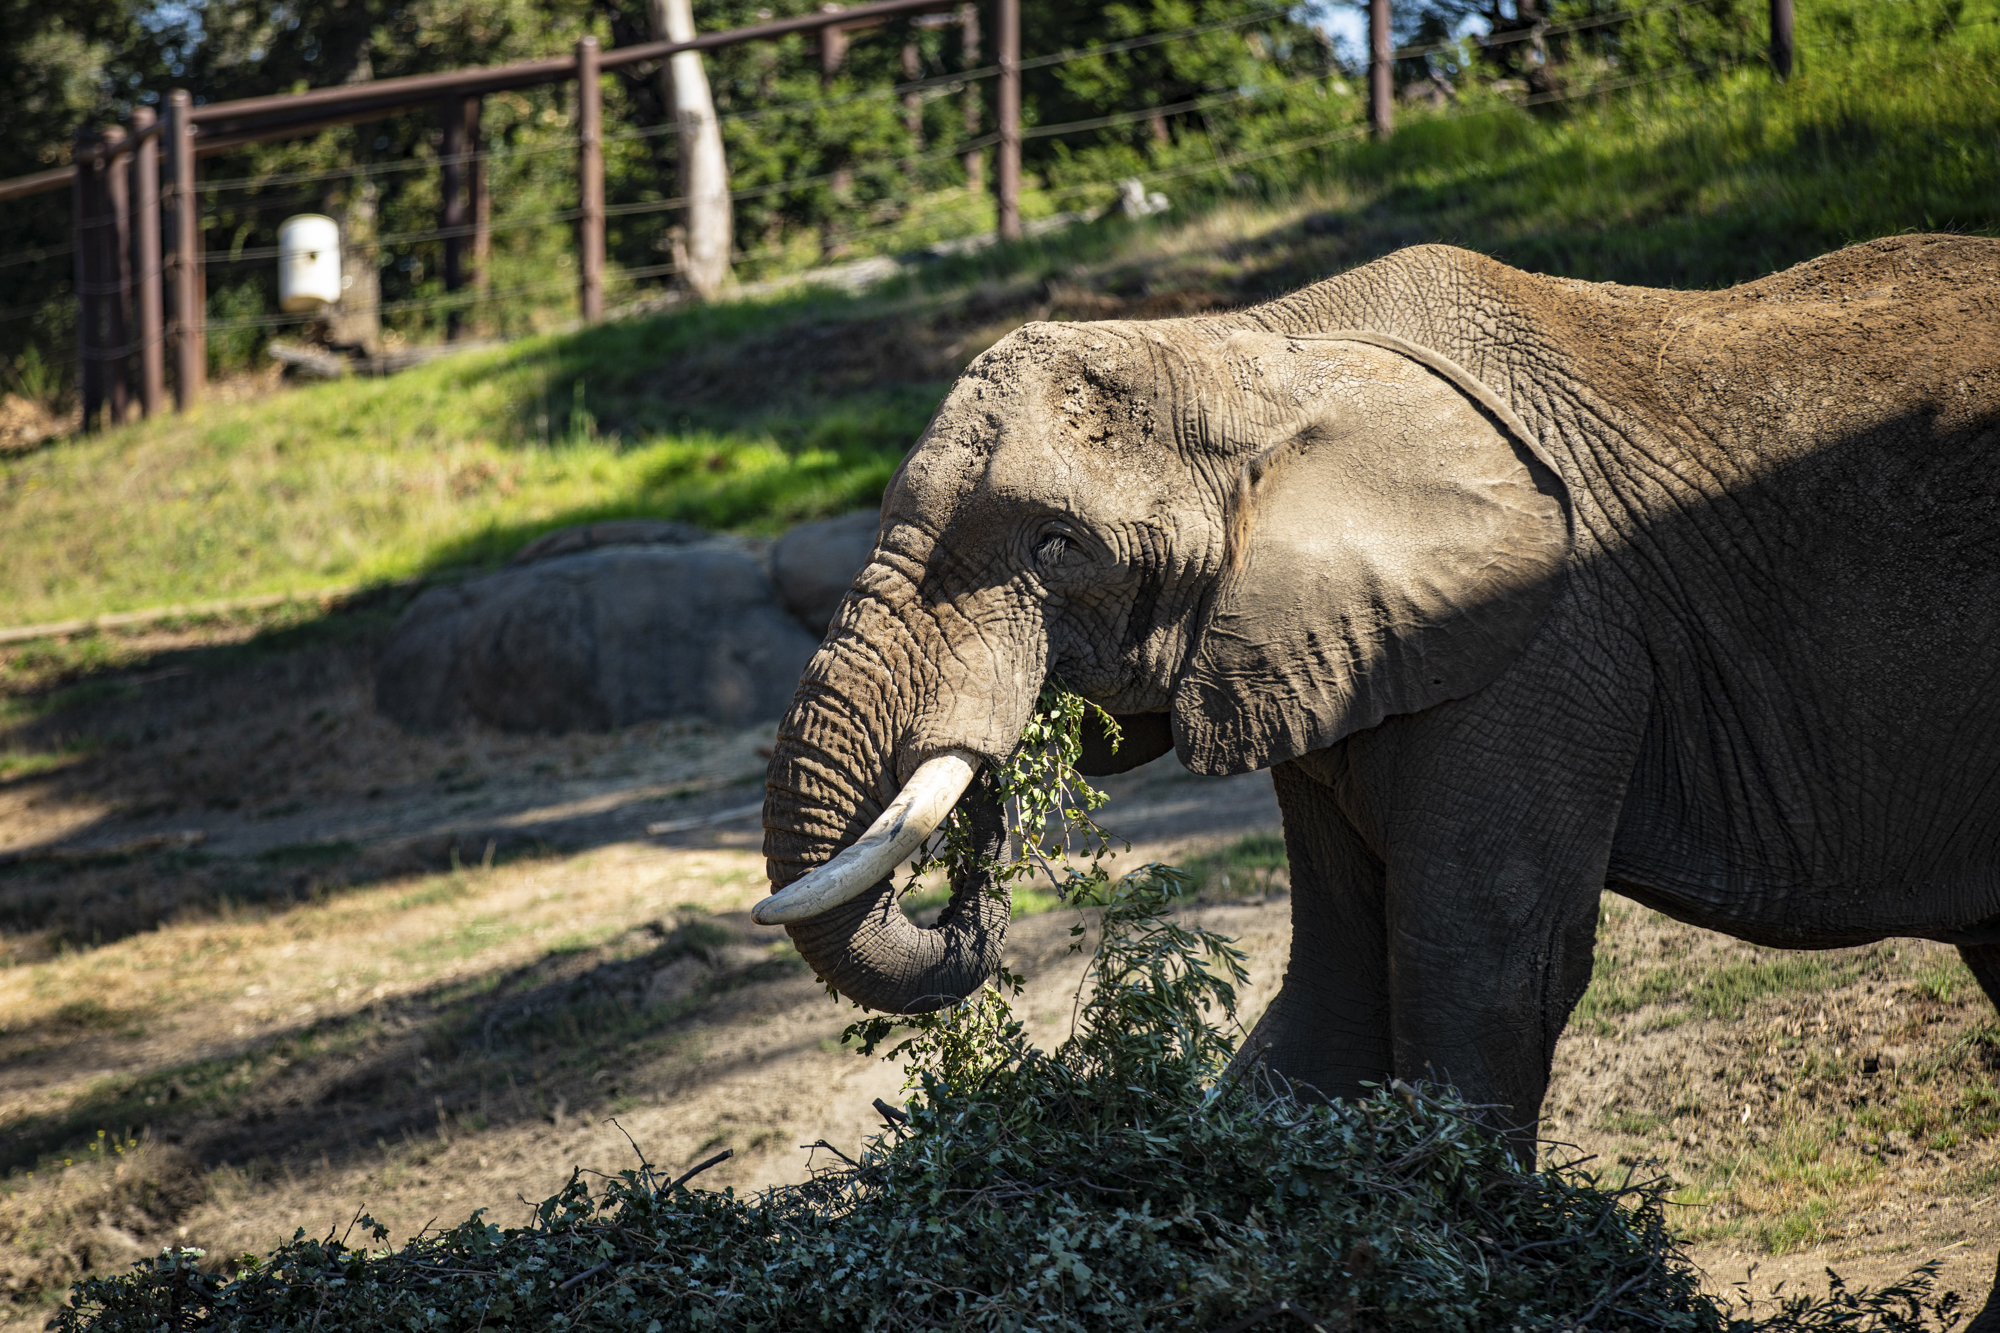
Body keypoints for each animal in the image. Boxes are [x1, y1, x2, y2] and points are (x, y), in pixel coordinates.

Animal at [752, 233, 2000, 1312]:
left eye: (1056, 546)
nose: (987, 817)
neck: (1259, 352)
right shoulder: (1325, 652)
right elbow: (1334, 985)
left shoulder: (1543, 636)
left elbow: (1482, 964)